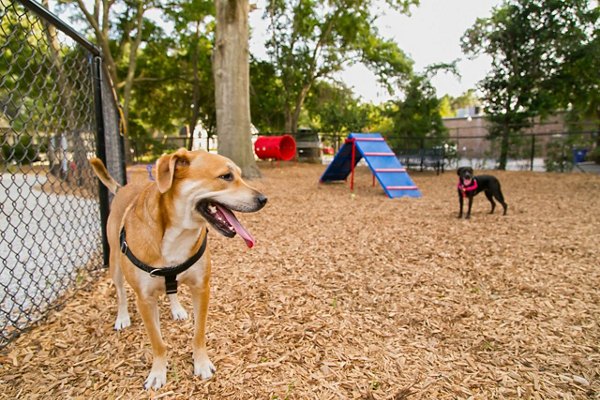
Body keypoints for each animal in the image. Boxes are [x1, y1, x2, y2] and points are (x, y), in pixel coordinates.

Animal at [89, 148, 268, 390]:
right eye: (226, 176)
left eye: (239, 175)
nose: (263, 199)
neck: (178, 233)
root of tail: (122, 188)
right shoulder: (145, 299)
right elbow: (157, 342)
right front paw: (158, 372)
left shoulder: (201, 288)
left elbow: (198, 333)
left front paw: (201, 363)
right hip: (115, 264)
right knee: (120, 293)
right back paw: (123, 317)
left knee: (171, 289)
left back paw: (177, 309)